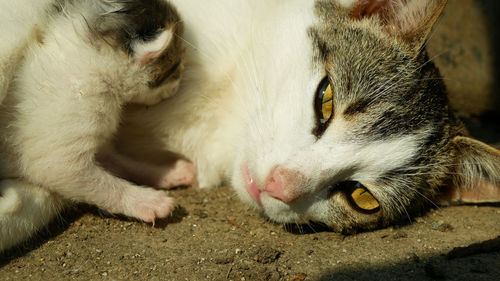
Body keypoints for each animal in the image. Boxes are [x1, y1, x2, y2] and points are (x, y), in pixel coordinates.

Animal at [0, 0, 191, 249]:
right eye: (174, 67)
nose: (177, 89)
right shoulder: (57, 150)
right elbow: (100, 184)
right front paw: (148, 202)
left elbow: (123, 162)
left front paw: (169, 174)